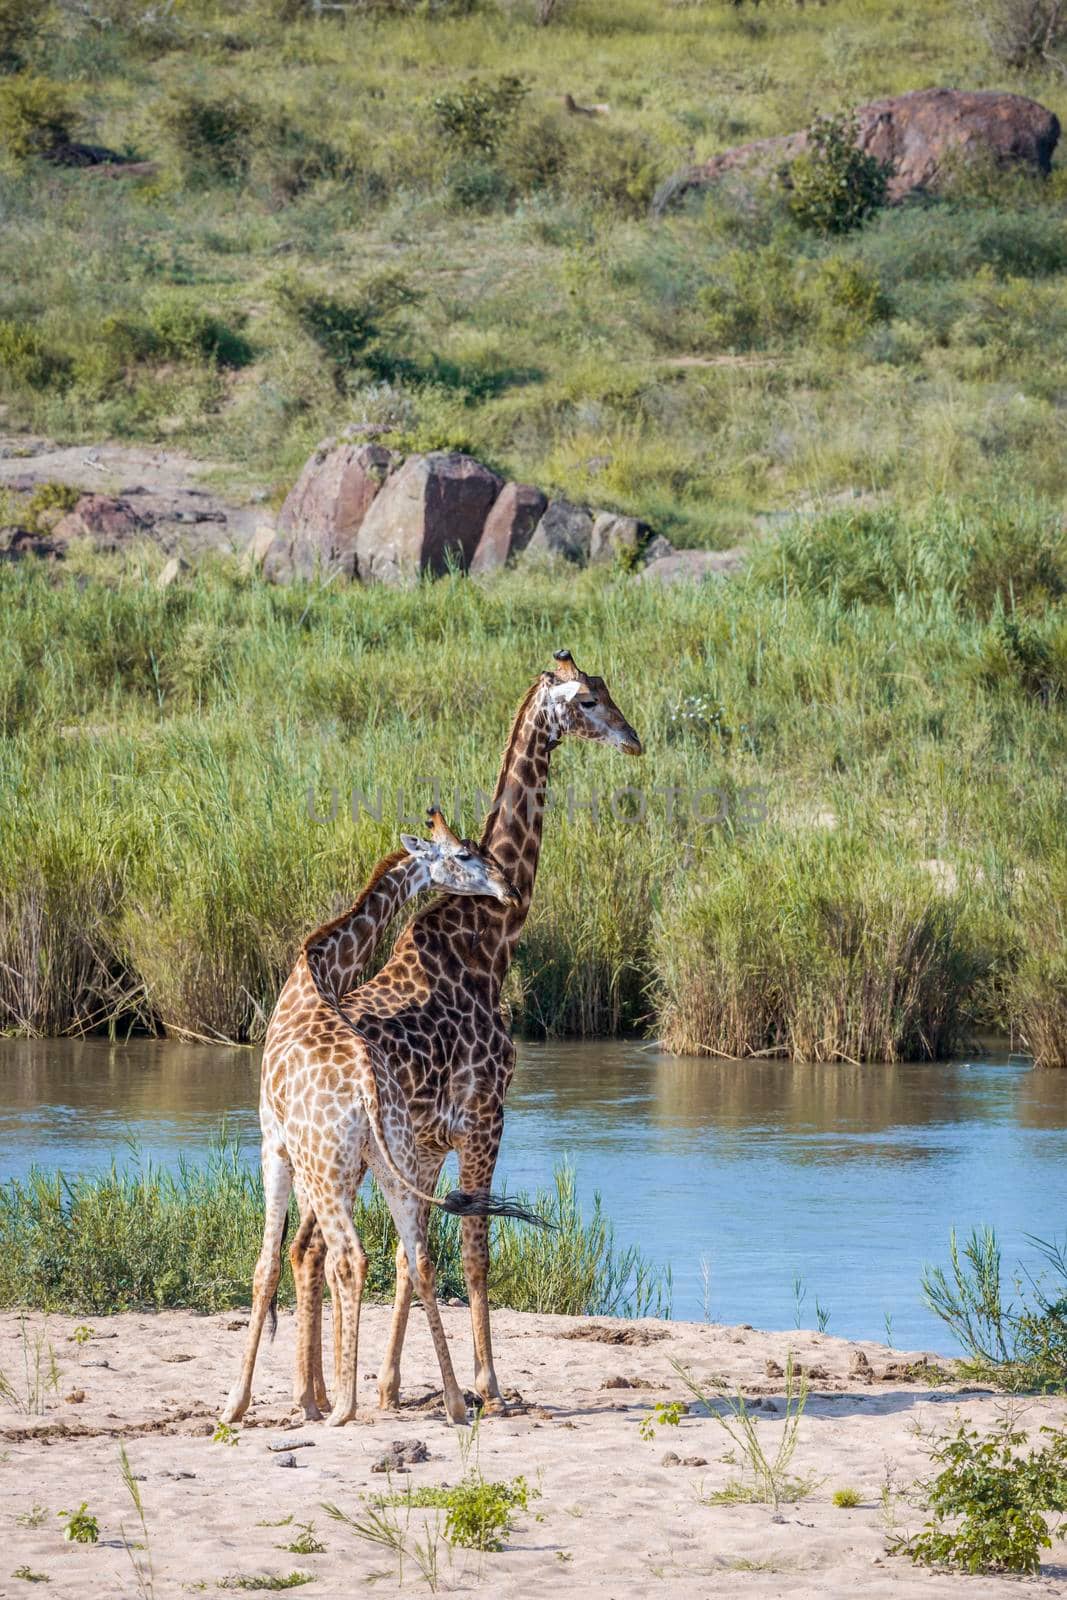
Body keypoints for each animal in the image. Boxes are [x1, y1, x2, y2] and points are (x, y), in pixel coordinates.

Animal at [220, 812, 521, 1427]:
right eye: (464, 854)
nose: (507, 888)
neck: (315, 975)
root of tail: (365, 1086)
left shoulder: (271, 1141)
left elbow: (263, 1267)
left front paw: (235, 1404)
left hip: (330, 1167)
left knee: (347, 1257)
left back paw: (343, 1408)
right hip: (394, 1160)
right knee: (417, 1257)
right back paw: (452, 1403)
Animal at [289, 649, 643, 1427]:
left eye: (605, 690)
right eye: (587, 700)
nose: (633, 739)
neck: (489, 940)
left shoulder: (426, 1145)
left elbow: (411, 1254)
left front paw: (391, 1387)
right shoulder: (484, 1118)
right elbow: (475, 1249)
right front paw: (488, 1385)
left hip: (329, 1159)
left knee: (307, 1248)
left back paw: (315, 1394)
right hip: (348, 1158)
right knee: (321, 1249)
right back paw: (320, 1395)